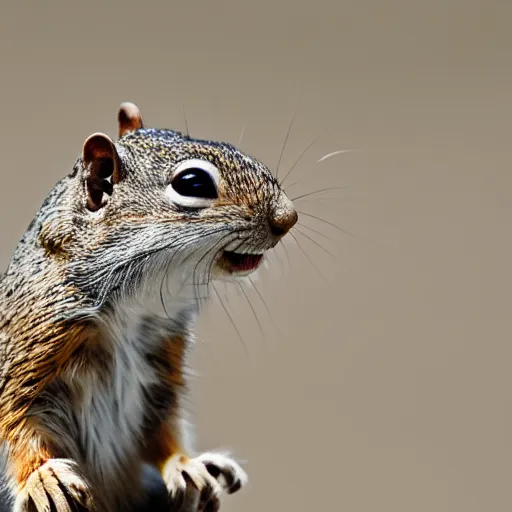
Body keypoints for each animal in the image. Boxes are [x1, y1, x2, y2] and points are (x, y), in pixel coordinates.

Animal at [0, 102, 298, 510]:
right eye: (193, 183)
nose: (289, 217)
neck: (132, 304)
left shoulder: (160, 364)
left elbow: (161, 427)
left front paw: (186, 464)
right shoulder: (32, 343)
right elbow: (18, 421)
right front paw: (42, 476)